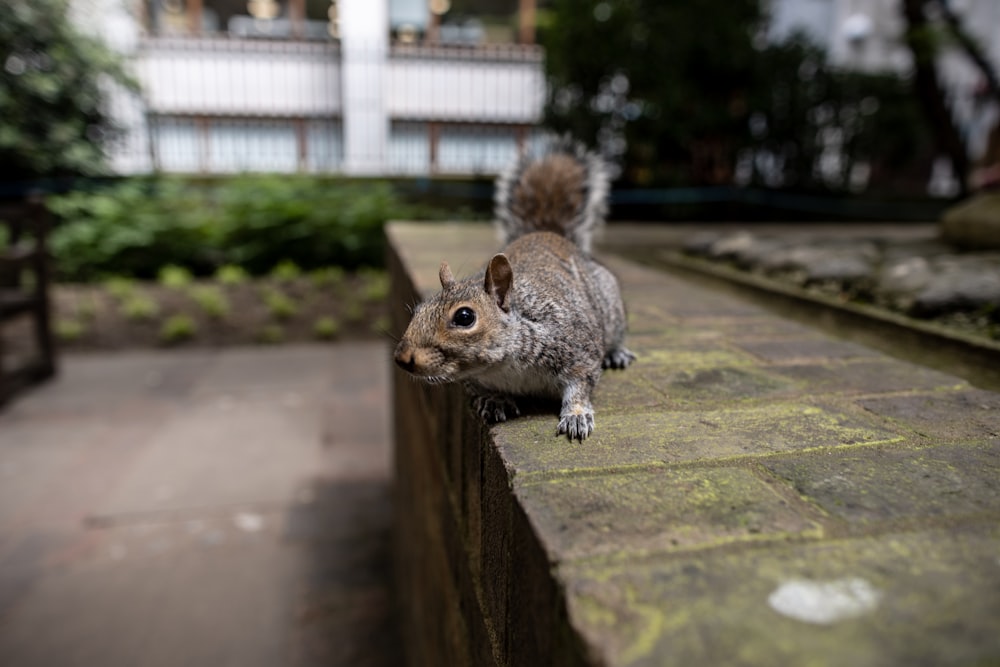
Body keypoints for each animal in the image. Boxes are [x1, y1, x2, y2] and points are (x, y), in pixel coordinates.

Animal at [390, 138, 632, 440]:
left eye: (465, 317)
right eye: (419, 309)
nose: (402, 357)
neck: (504, 367)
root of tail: (548, 234)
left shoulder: (580, 351)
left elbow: (581, 385)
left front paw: (576, 415)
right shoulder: (475, 380)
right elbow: (481, 388)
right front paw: (495, 399)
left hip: (611, 309)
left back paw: (617, 353)